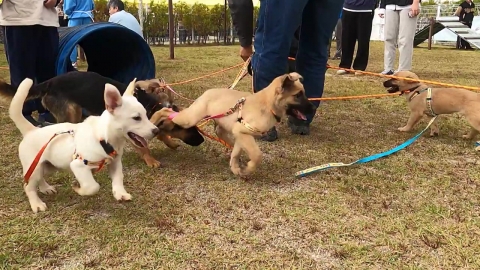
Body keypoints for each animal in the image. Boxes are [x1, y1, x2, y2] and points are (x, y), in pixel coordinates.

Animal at [0, 70, 204, 167]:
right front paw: (151, 160)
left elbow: (159, 133)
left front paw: (170, 142)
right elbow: (144, 145)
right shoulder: (135, 131)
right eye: (189, 128)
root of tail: (49, 82)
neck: (151, 105)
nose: (202, 140)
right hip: (71, 112)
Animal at [9, 77, 158, 213]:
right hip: (34, 168)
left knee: (39, 179)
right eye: (136, 118)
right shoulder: (78, 165)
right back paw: (36, 204)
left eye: (146, 114)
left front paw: (120, 194)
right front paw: (79, 189)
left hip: (47, 166)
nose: (156, 130)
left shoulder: (115, 163)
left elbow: (118, 178)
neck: (103, 137)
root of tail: (31, 130)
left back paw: (46, 188)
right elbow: (93, 186)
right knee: (28, 186)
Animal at [150, 72, 316, 177]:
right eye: (297, 95)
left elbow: (237, 152)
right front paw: (248, 168)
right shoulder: (242, 130)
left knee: (221, 134)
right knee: (165, 110)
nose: (313, 108)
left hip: (221, 126)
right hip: (189, 118)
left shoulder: (241, 133)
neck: (267, 105)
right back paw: (152, 120)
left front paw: (236, 168)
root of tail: (207, 92)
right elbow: (257, 155)